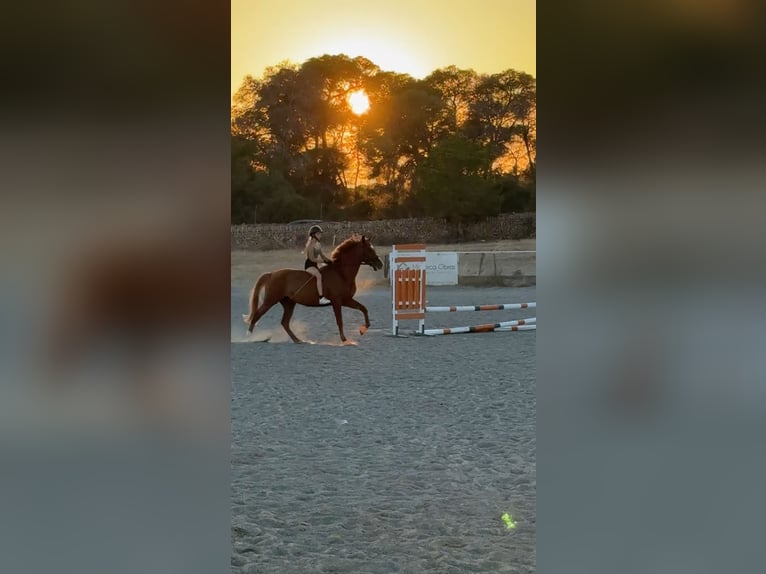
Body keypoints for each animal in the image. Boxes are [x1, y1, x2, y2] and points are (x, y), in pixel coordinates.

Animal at [243, 235, 383, 343]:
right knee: (257, 315)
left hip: (289, 303)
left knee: (284, 322)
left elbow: (363, 308)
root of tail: (271, 274)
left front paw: (363, 330)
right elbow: (340, 320)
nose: (380, 264)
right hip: (270, 300)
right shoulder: (337, 301)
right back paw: (249, 337)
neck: (341, 273)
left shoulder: (346, 300)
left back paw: (298, 340)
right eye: (369, 249)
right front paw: (344, 339)